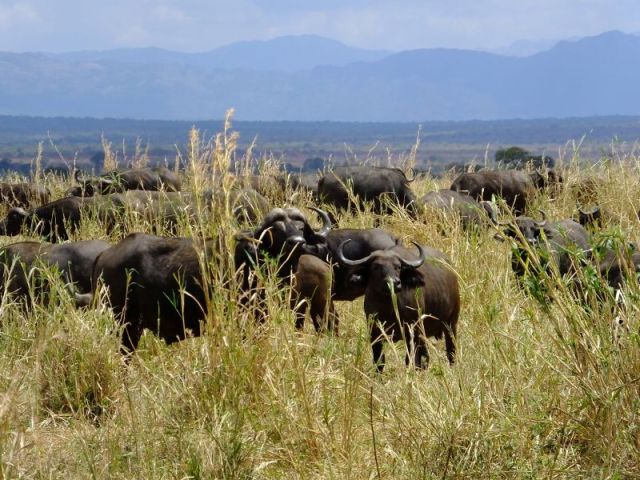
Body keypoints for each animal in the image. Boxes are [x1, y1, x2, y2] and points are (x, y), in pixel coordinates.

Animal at [337, 241, 460, 372]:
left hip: (451, 324)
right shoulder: (374, 333)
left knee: (450, 351)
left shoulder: (412, 332)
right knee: (426, 357)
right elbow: (379, 361)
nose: (394, 283)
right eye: (376, 267)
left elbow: (410, 360)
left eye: (398, 267)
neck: (389, 309)